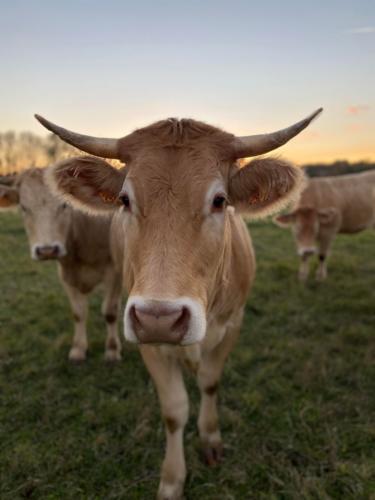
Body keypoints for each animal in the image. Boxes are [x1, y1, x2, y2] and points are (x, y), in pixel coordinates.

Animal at [0, 169, 122, 364]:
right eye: (24, 207)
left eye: (65, 205)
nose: (47, 250)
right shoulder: (66, 275)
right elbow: (78, 312)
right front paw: (78, 349)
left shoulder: (114, 272)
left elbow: (110, 311)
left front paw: (112, 350)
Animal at [36, 107, 322, 498]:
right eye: (125, 200)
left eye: (219, 200)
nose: (160, 318)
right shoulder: (149, 341)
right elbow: (174, 411)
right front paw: (172, 479)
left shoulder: (232, 324)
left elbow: (210, 383)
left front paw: (211, 439)